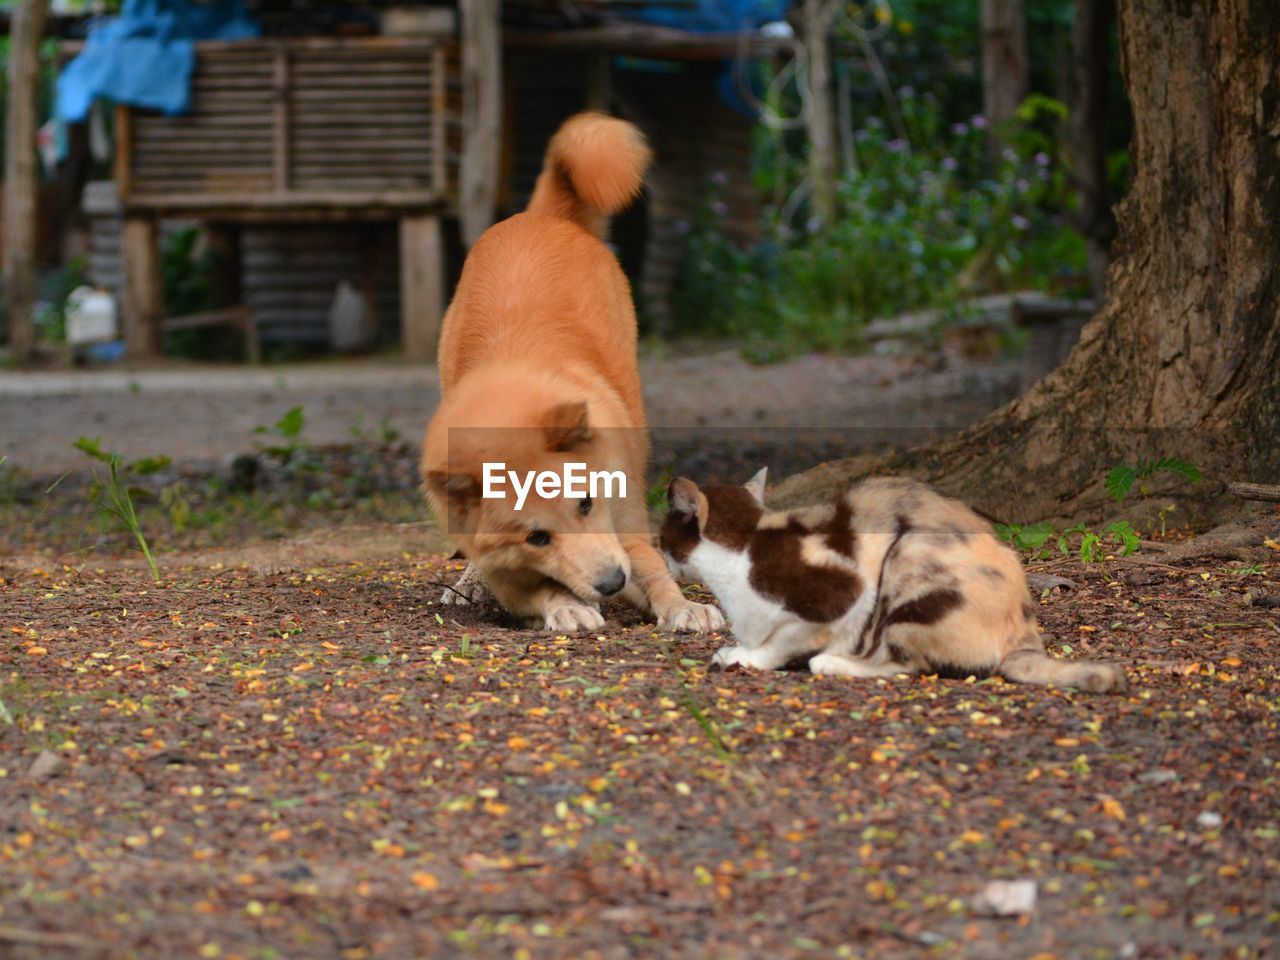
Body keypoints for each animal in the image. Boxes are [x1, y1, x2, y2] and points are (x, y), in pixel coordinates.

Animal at [424, 112, 727, 634]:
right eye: (537, 538)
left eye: (585, 503)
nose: (610, 583)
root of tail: (545, 215)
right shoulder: (508, 569)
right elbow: (537, 586)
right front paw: (563, 603)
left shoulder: (625, 529)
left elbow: (652, 570)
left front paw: (682, 606)